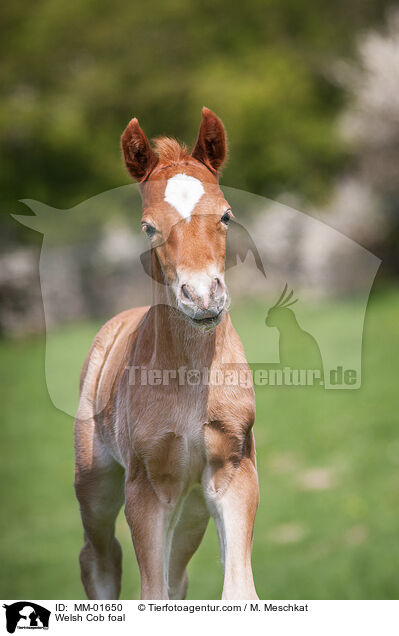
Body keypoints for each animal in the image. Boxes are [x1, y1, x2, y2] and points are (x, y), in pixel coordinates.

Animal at [74, 107, 260, 600]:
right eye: (148, 226)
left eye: (227, 215)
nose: (202, 298)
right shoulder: (146, 490)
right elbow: (150, 593)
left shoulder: (233, 472)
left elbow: (238, 592)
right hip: (96, 486)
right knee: (98, 558)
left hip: (191, 507)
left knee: (177, 577)